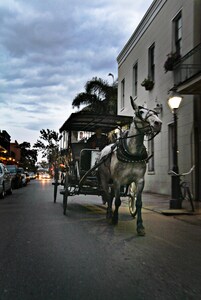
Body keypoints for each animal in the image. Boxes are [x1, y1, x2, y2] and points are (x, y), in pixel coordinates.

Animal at [97, 97, 162, 236]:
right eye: (140, 112)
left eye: (154, 111)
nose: (158, 123)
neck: (132, 153)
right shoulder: (117, 180)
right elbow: (117, 201)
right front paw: (115, 218)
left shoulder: (139, 181)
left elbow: (138, 202)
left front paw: (140, 226)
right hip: (105, 179)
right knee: (108, 196)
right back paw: (109, 214)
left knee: (111, 196)